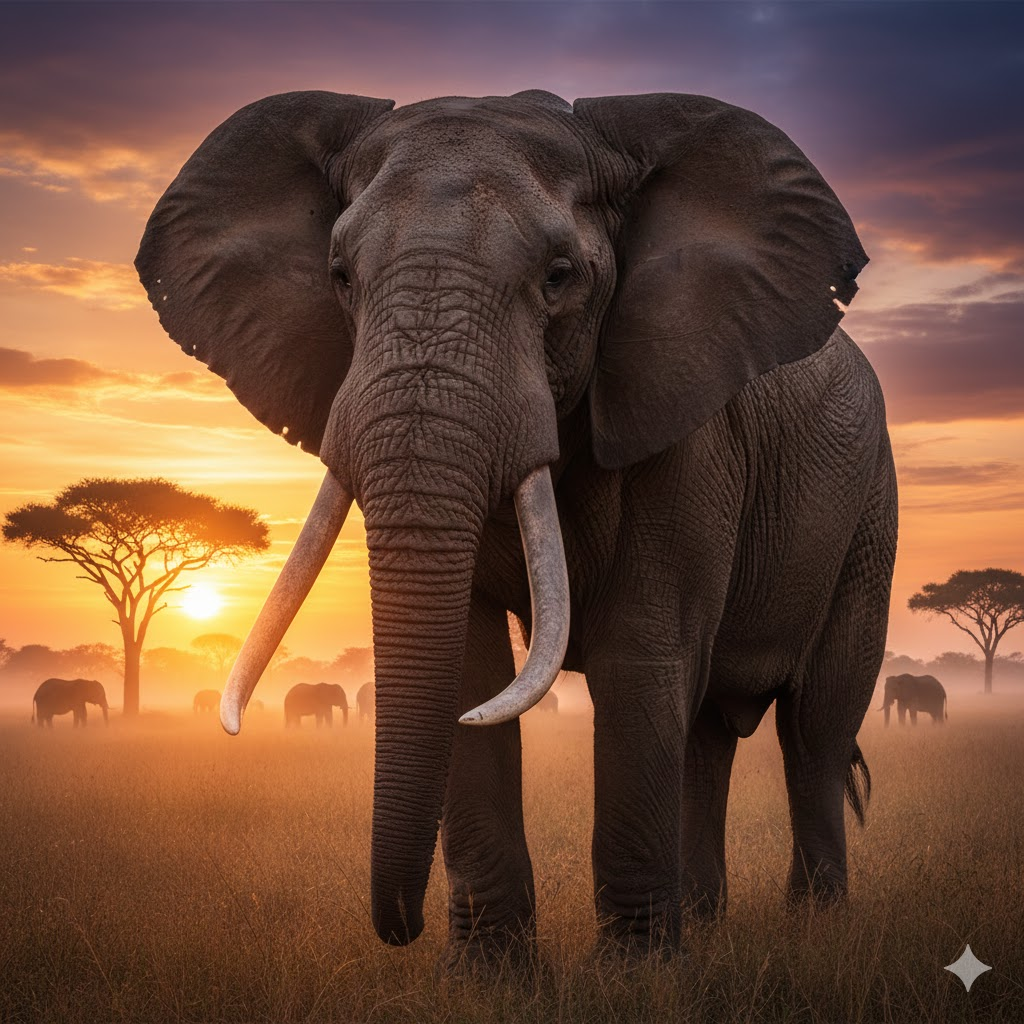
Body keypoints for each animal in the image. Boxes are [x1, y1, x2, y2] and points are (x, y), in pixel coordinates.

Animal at [137, 88, 898, 961]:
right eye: (339, 276)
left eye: (560, 277)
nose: (402, 928)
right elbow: (470, 669)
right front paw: (493, 973)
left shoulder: (687, 425)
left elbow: (641, 655)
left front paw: (636, 976)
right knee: (707, 734)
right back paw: (706, 926)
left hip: (869, 513)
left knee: (814, 731)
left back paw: (813, 930)